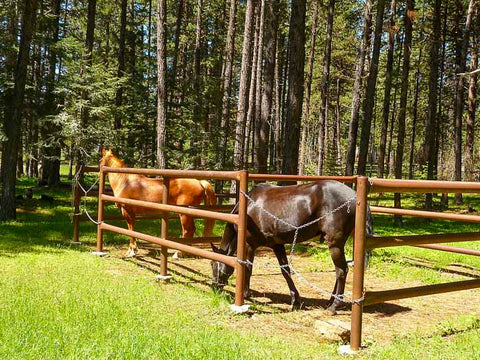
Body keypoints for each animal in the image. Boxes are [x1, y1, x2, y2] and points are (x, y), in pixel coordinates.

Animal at [212, 181, 374, 314]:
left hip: (335, 244)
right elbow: (286, 271)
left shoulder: (250, 244)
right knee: (340, 270)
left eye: (214, 264)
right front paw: (296, 300)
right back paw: (330, 301)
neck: (249, 207)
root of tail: (356, 196)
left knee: (341, 271)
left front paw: (246, 294)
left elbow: (248, 268)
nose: (214, 287)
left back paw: (334, 306)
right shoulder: (277, 245)